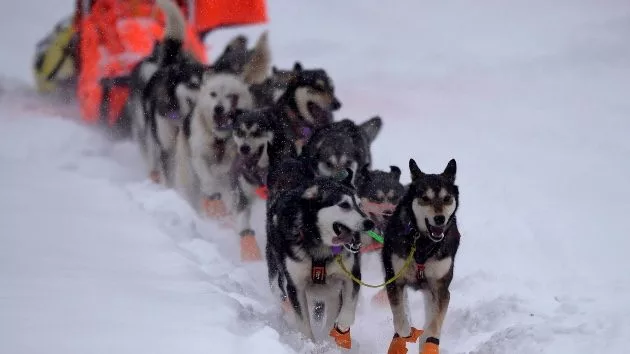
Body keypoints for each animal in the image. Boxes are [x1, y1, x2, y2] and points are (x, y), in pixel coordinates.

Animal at [266, 171, 376, 348]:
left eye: (360, 205)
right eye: (344, 205)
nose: (369, 223)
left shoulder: (350, 276)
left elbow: (346, 312)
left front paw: (335, 336)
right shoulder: (295, 286)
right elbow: (303, 322)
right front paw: (309, 344)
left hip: (330, 290)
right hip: (276, 271)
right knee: (278, 292)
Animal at [380, 158, 464, 354]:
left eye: (447, 198)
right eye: (425, 198)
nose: (440, 219)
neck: (423, 243)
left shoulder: (440, 288)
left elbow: (433, 327)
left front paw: (429, 341)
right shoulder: (394, 280)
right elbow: (400, 319)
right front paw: (406, 332)